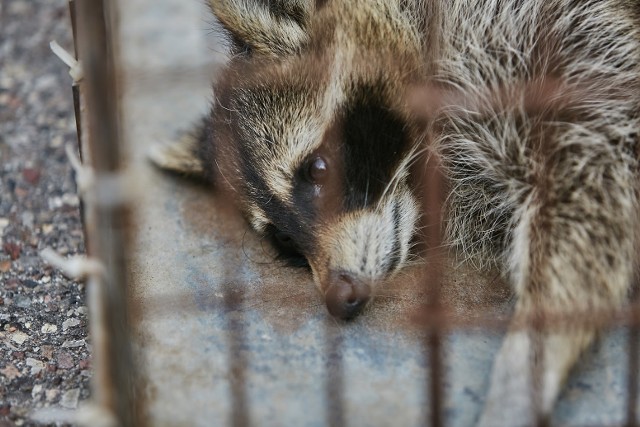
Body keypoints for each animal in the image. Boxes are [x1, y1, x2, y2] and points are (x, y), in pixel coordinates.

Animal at [152, 0, 640, 424]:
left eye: (318, 170)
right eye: (284, 240)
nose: (339, 298)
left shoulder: (565, 47)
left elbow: (595, 190)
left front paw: (525, 370)